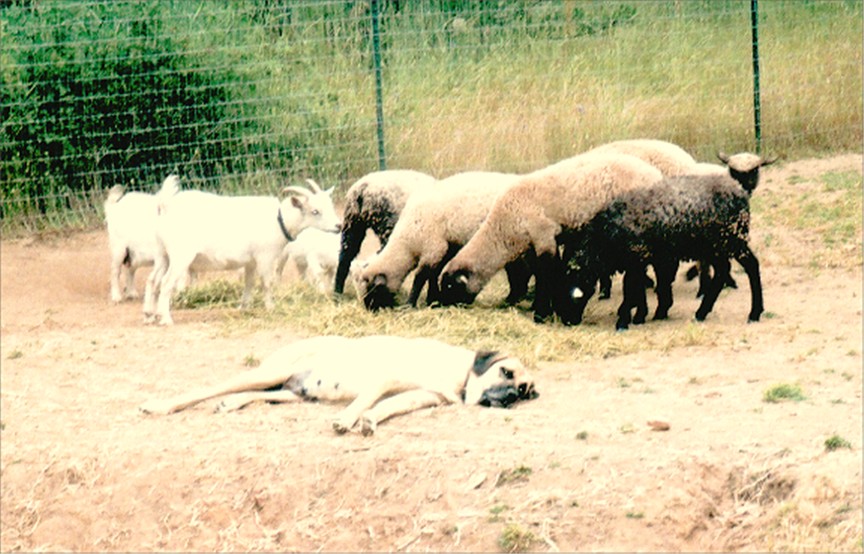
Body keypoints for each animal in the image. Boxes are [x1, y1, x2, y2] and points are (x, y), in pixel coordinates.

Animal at [138, 332, 536, 436]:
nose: (511, 397)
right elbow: (366, 400)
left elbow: (386, 407)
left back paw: (232, 404)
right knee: (210, 388)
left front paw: (370, 421)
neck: (458, 374)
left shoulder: (419, 397)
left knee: (253, 395)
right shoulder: (384, 378)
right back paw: (160, 405)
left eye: (525, 391)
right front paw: (348, 419)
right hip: (267, 373)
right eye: (506, 373)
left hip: (293, 393)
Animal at [143, 177, 340, 324]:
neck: (279, 220)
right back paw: (166, 318)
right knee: (166, 282)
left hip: (162, 255)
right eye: (315, 211)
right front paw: (271, 308)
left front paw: (243, 307)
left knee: (153, 280)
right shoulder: (265, 257)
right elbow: (267, 283)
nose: (338, 226)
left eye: (330, 206)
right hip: (180, 256)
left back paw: (149, 315)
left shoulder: (251, 261)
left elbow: (249, 282)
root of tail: (165, 207)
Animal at [352, 170, 528, 308]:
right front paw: (433, 299)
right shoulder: (447, 247)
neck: (409, 241)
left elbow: (421, 276)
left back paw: (513, 299)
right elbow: (434, 274)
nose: (369, 309)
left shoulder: (434, 247)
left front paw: (411, 304)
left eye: (371, 288)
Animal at [438, 153, 660, 322]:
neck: (505, 228)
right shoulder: (537, 243)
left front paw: (542, 313)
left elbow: (547, 274)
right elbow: (547, 272)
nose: (442, 306)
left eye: (450, 286)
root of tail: (654, 175)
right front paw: (550, 308)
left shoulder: (544, 236)